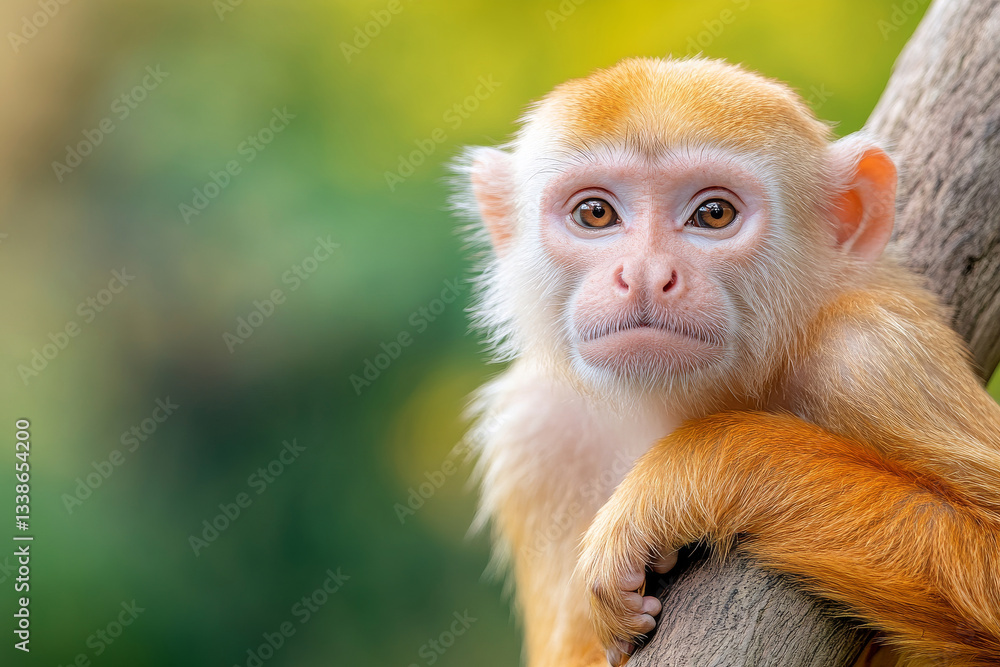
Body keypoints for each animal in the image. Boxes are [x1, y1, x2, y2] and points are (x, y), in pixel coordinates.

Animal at [454, 57, 1000, 667]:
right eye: (595, 213)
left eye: (713, 214)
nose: (646, 274)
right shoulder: (536, 435)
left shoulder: (870, 356)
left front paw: (685, 475)